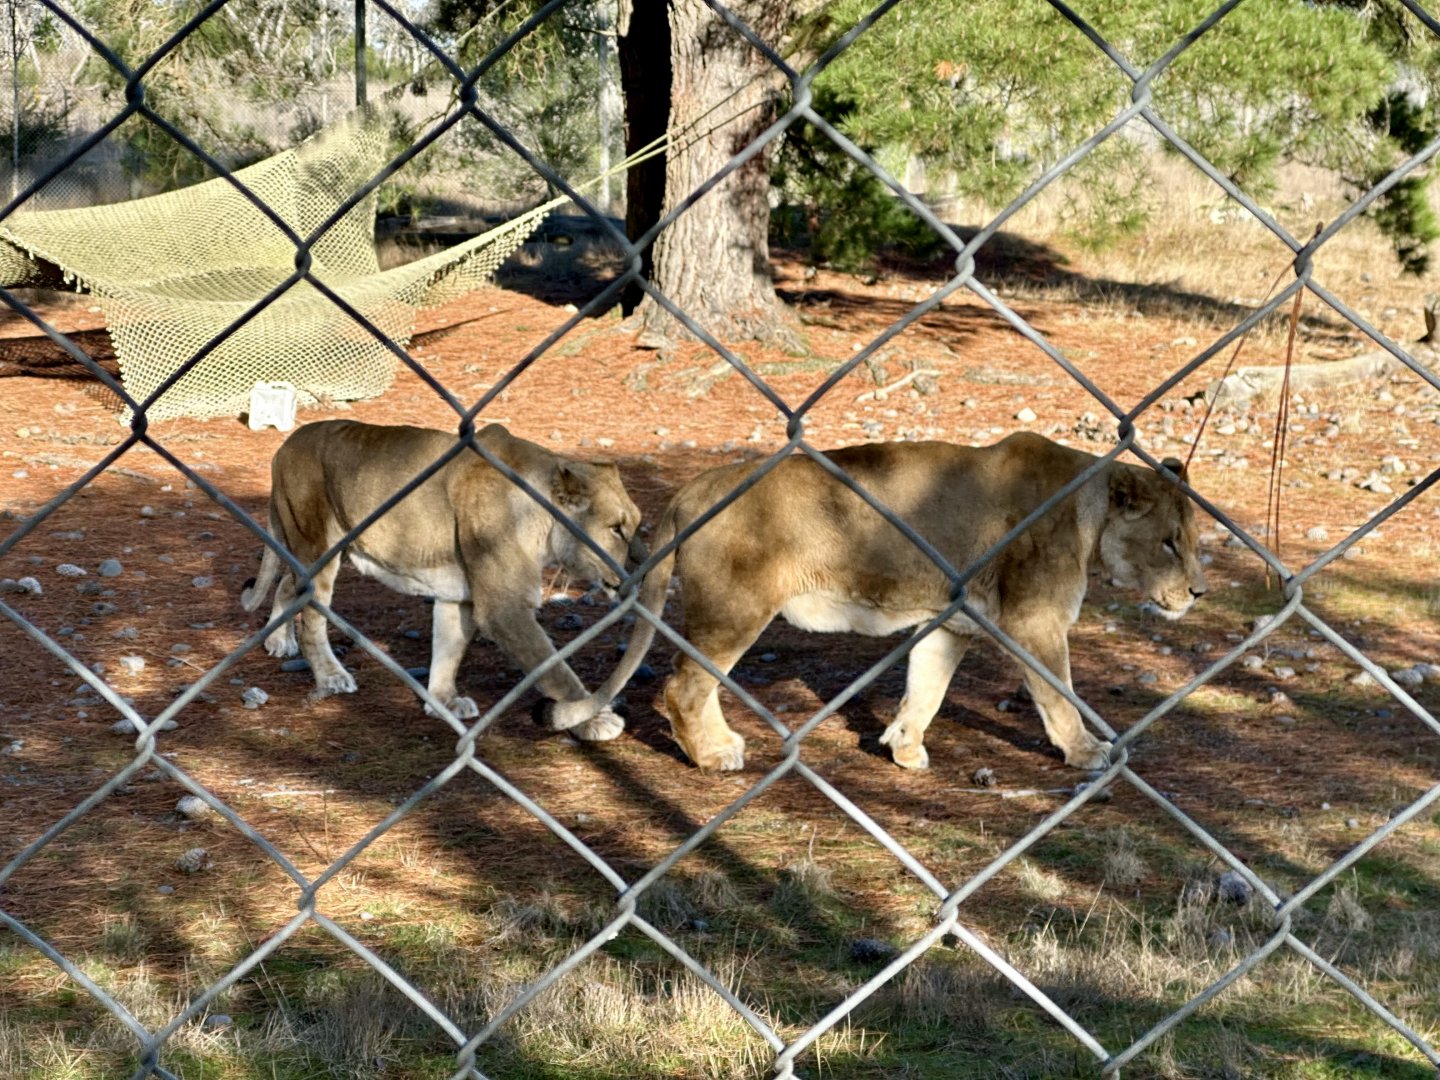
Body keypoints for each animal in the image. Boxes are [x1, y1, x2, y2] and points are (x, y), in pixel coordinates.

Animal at [241, 419, 644, 741]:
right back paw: (329, 677)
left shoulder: (458, 596)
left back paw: (279, 641)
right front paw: (593, 719)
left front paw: (444, 701)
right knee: (311, 618)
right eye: (616, 529)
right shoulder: (505, 609)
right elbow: (557, 672)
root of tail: (287, 444)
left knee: (287, 586)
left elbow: (450, 649)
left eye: (635, 524)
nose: (635, 572)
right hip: (317, 548)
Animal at [548, 431, 1207, 771]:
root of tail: (695, 487)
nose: (1198, 591)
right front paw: (1086, 751)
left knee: (693, 685)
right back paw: (712, 757)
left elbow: (927, 689)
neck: (1088, 516)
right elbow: (1058, 695)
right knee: (682, 687)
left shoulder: (951, 623)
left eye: (1192, 538)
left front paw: (904, 747)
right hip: (734, 610)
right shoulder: (1034, 621)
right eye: (1170, 542)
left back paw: (721, 743)